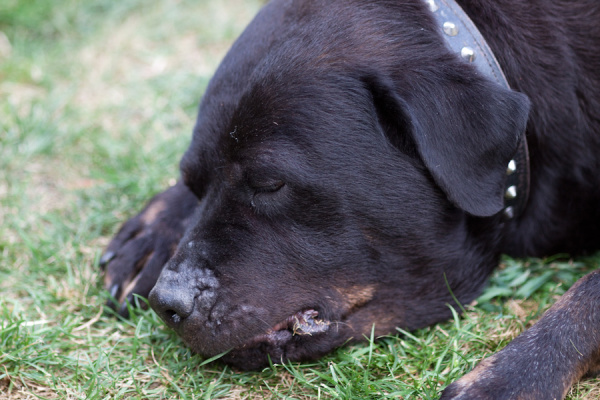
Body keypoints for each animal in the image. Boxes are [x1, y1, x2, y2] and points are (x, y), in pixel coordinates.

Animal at [101, 0, 600, 396]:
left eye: (270, 184)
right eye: (194, 181)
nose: (169, 300)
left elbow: (588, 293)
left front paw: (511, 376)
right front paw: (157, 228)